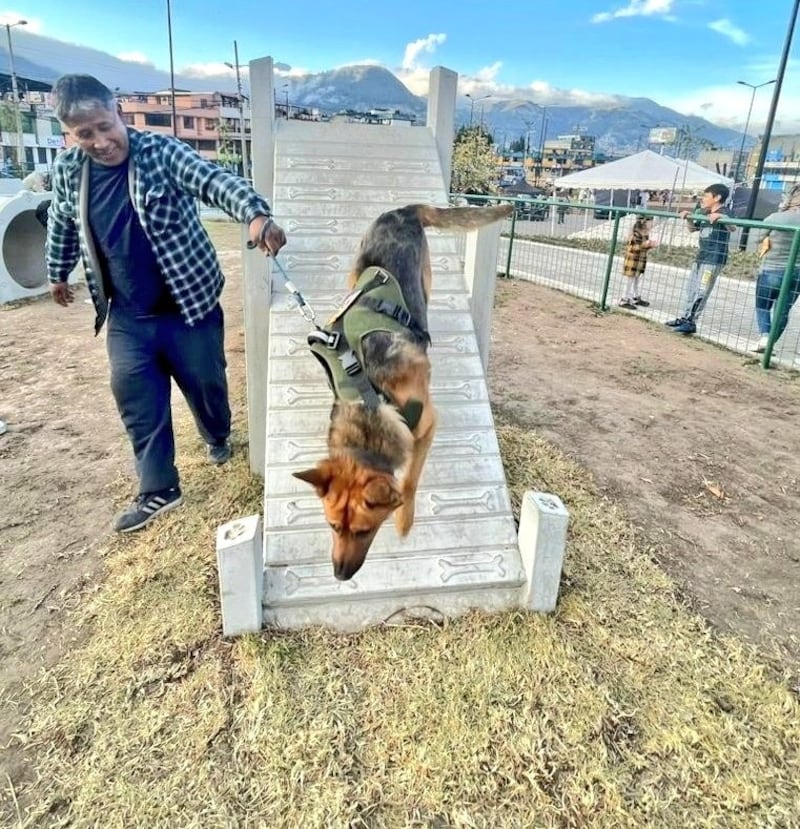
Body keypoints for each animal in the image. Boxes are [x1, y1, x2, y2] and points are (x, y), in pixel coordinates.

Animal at [294, 202, 512, 576]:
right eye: (332, 526)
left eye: (364, 530)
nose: (339, 575)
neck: (369, 399)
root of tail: (402, 210)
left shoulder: (426, 426)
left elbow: (409, 481)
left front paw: (404, 519)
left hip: (423, 279)